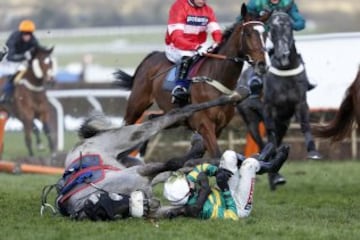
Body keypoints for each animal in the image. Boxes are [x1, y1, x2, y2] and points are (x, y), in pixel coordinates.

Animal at [114, 4, 268, 158]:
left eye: (265, 35)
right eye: (248, 33)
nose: (262, 64)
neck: (216, 78)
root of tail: (150, 57)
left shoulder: (218, 127)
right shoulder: (205, 125)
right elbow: (216, 155)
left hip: (173, 116)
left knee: (152, 118)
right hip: (136, 105)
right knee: (127, 125)